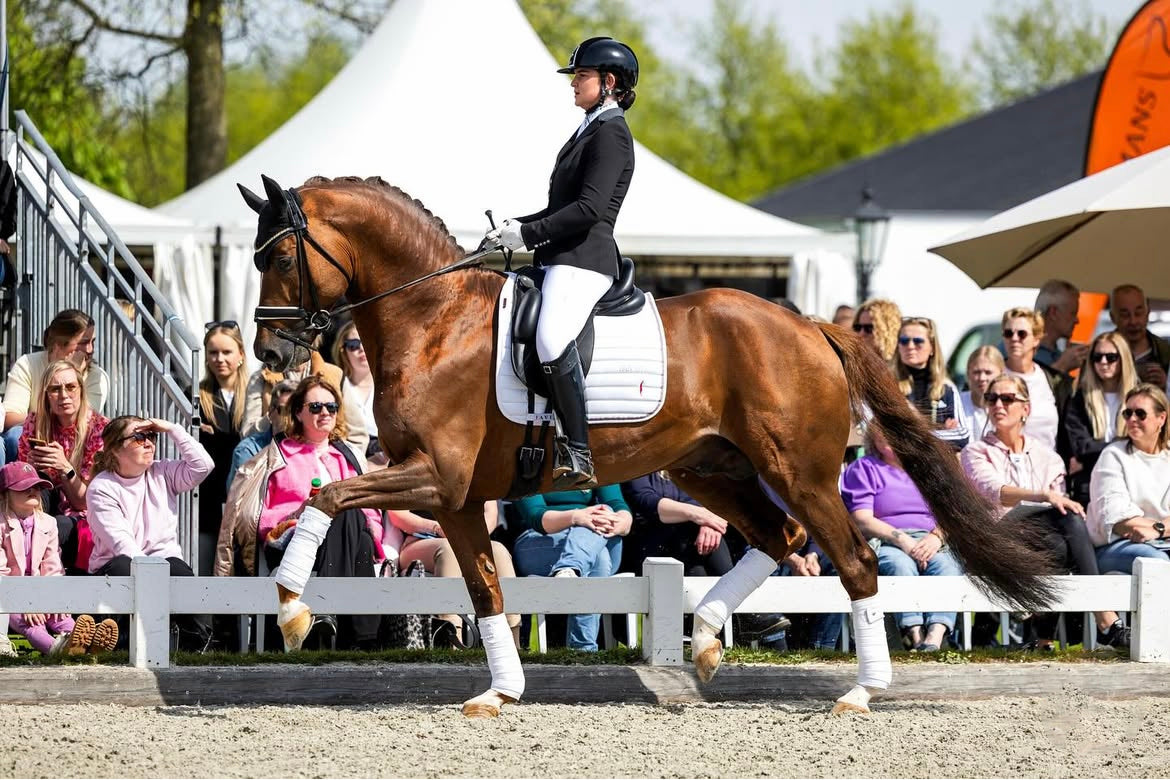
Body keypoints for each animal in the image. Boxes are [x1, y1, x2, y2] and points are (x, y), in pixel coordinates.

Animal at [237, 174, 1058, 718]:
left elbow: (327, 494)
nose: (272, 356)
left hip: (796, 471)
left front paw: (292, 609)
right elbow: (485, 589)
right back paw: (707, 641)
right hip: (712, 470)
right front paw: (500, 690)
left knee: (850, 559)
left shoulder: (432, 478)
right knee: (783, 539)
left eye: (281, 259)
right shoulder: (458, 498)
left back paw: (860, 692)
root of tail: (812, 325)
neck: (434, 319)